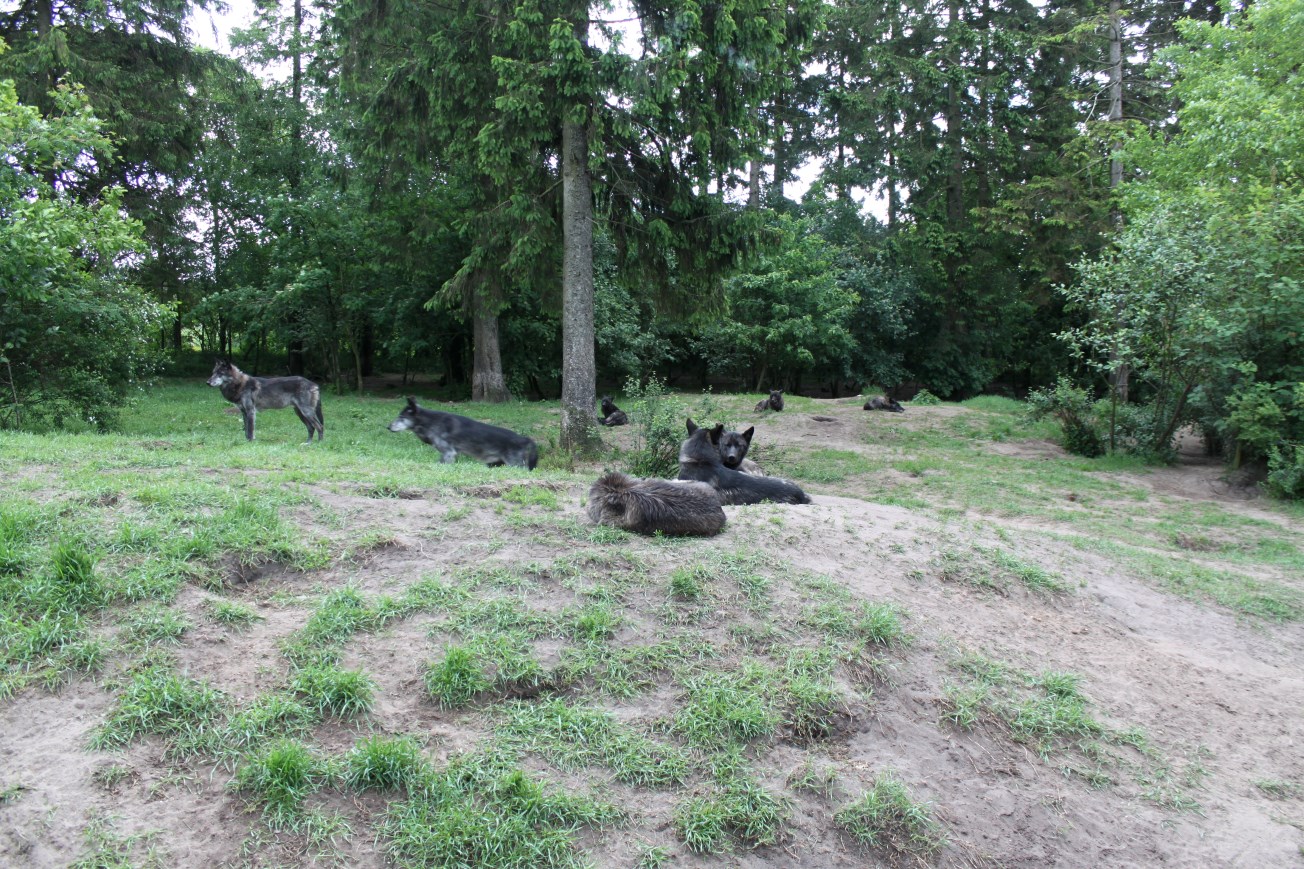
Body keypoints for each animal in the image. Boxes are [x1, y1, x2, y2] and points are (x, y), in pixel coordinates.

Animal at [387, 397, 538, 469]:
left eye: (401, 417)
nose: (388, 427)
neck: (430, 421)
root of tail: (524, 438)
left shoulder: (449, 453)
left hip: (514, 465)